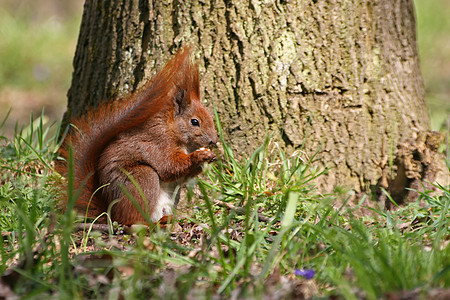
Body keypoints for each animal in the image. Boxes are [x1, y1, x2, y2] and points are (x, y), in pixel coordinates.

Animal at [57, 47, 219, 225]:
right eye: (195, 122)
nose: (213, 141)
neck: (172, 129)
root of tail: (111, 213)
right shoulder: (159, 142)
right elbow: (168, 166)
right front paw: (199, 156)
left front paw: (209, 158)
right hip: (141, 179)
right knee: (133, 221)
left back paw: (167, 219)